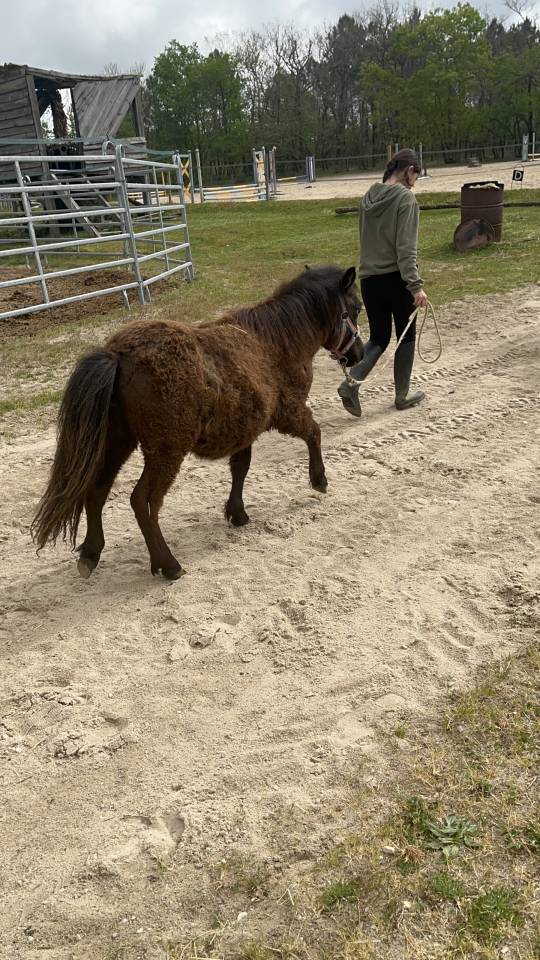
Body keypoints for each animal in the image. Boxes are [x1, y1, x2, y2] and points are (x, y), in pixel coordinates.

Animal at [31, 265, 364, 580]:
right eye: (357, 307)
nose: (358, 355)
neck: (276, 341)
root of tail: (118, 353)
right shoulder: (290, 412)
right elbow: (314, 433)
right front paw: (319, 480)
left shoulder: (245, 428)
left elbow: (241, 468)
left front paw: (237, 513)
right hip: (165, 451)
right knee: (143, 501)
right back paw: (168, 564)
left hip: (117, 443)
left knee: (97, 490)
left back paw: (91, 553)